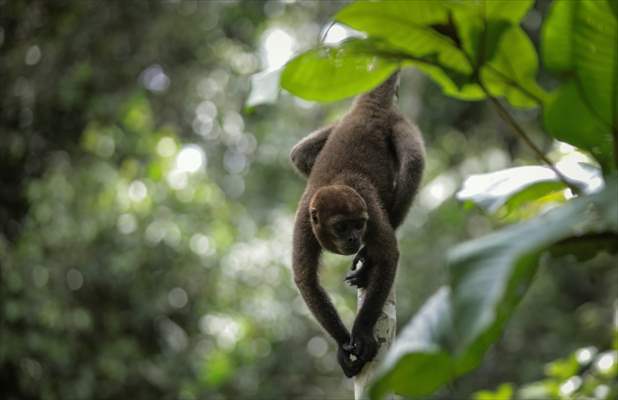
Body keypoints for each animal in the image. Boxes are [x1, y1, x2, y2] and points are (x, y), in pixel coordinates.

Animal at [288, 72, 424, 378]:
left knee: (413, 162)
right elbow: (306, 279)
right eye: (341, 227)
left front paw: (360, 332)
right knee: (298, 154)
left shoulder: (369, 209)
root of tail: (366, 110)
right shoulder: (303, 225)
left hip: (398, 124)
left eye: (358, 225)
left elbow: (389, 255)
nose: (353, 239)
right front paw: (342, 343)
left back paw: (367, 260)